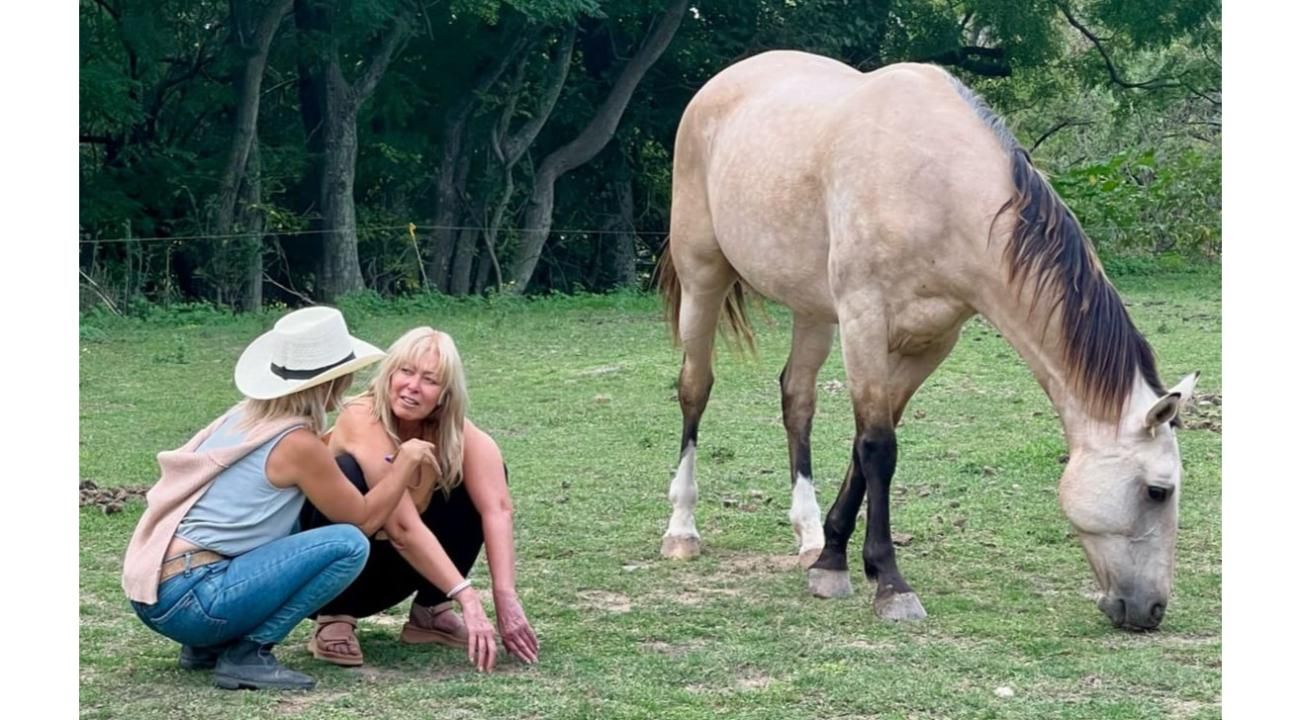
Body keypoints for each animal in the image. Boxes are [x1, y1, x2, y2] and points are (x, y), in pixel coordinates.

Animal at [656, 50, 1198, 631]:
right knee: (695, 387)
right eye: (1158, 491)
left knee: (797, 399)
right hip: (703, 276)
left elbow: (868, 442)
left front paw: (831, 560)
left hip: (811, 308)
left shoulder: (932, 341)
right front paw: (891, 585)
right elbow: (877, 447)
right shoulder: (865, 320)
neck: (939, 188)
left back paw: (807, 535)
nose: (1151, 609)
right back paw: (682, 529)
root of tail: (720, 84)